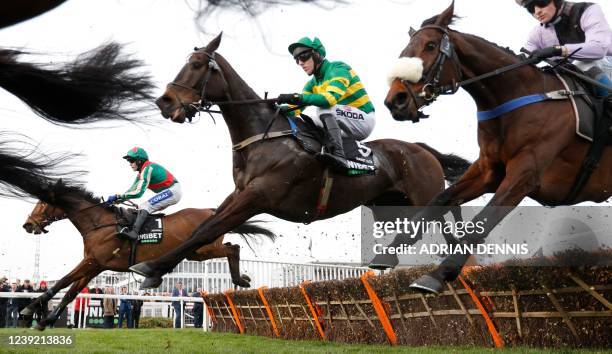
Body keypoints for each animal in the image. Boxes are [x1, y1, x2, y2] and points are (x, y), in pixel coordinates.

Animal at [20, 181, 274, 330]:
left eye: (42, 203)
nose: (27, 224)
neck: (99, 223)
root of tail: (212, 211)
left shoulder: (92, 261)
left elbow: (62, 282)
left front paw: (29, 310)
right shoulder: (95, 266)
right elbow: (70, 293)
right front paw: (45, 321)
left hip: (202, 248)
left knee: (233, 248)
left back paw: (241, 279)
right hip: (196, 253)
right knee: (232, 246)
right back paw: (241, 279)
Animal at [128, 32, 474, 288]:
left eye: (198, 64)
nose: (165, 101)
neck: (263, 137)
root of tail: (421, 149)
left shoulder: (258, 196)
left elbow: (208, 230)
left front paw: (150, 267)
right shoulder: (239, 193)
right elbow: (204, 227)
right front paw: (159, 269)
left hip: (421, 194)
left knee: (440, 220)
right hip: (389, 205)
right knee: (433, 226)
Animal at [384, 0, 612, 294]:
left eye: (431, 46)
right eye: (404, 51)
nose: (395, 101)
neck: (516, 98)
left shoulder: (525, 173)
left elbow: (484, 219)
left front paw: (437, 274)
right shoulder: (488, 170)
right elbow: (439, 200)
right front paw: (387, 252)